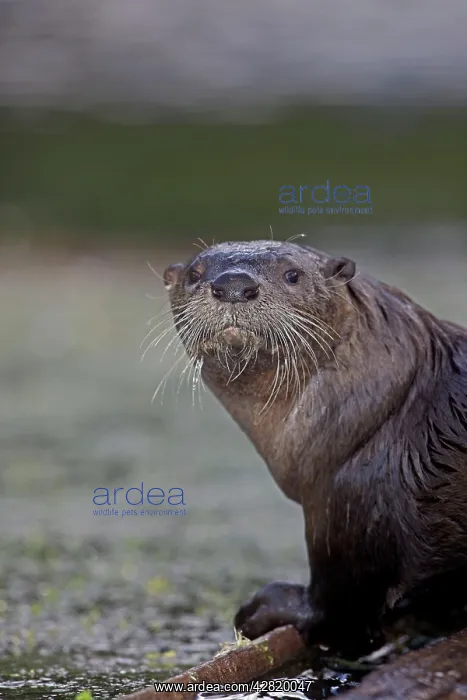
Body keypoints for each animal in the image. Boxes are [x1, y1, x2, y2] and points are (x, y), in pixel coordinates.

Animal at [162, 240, 467, 651]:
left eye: (293, 274)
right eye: (195, 274)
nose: (233, 284)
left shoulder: (348, 502)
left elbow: (341, 606)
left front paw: (269, 607)